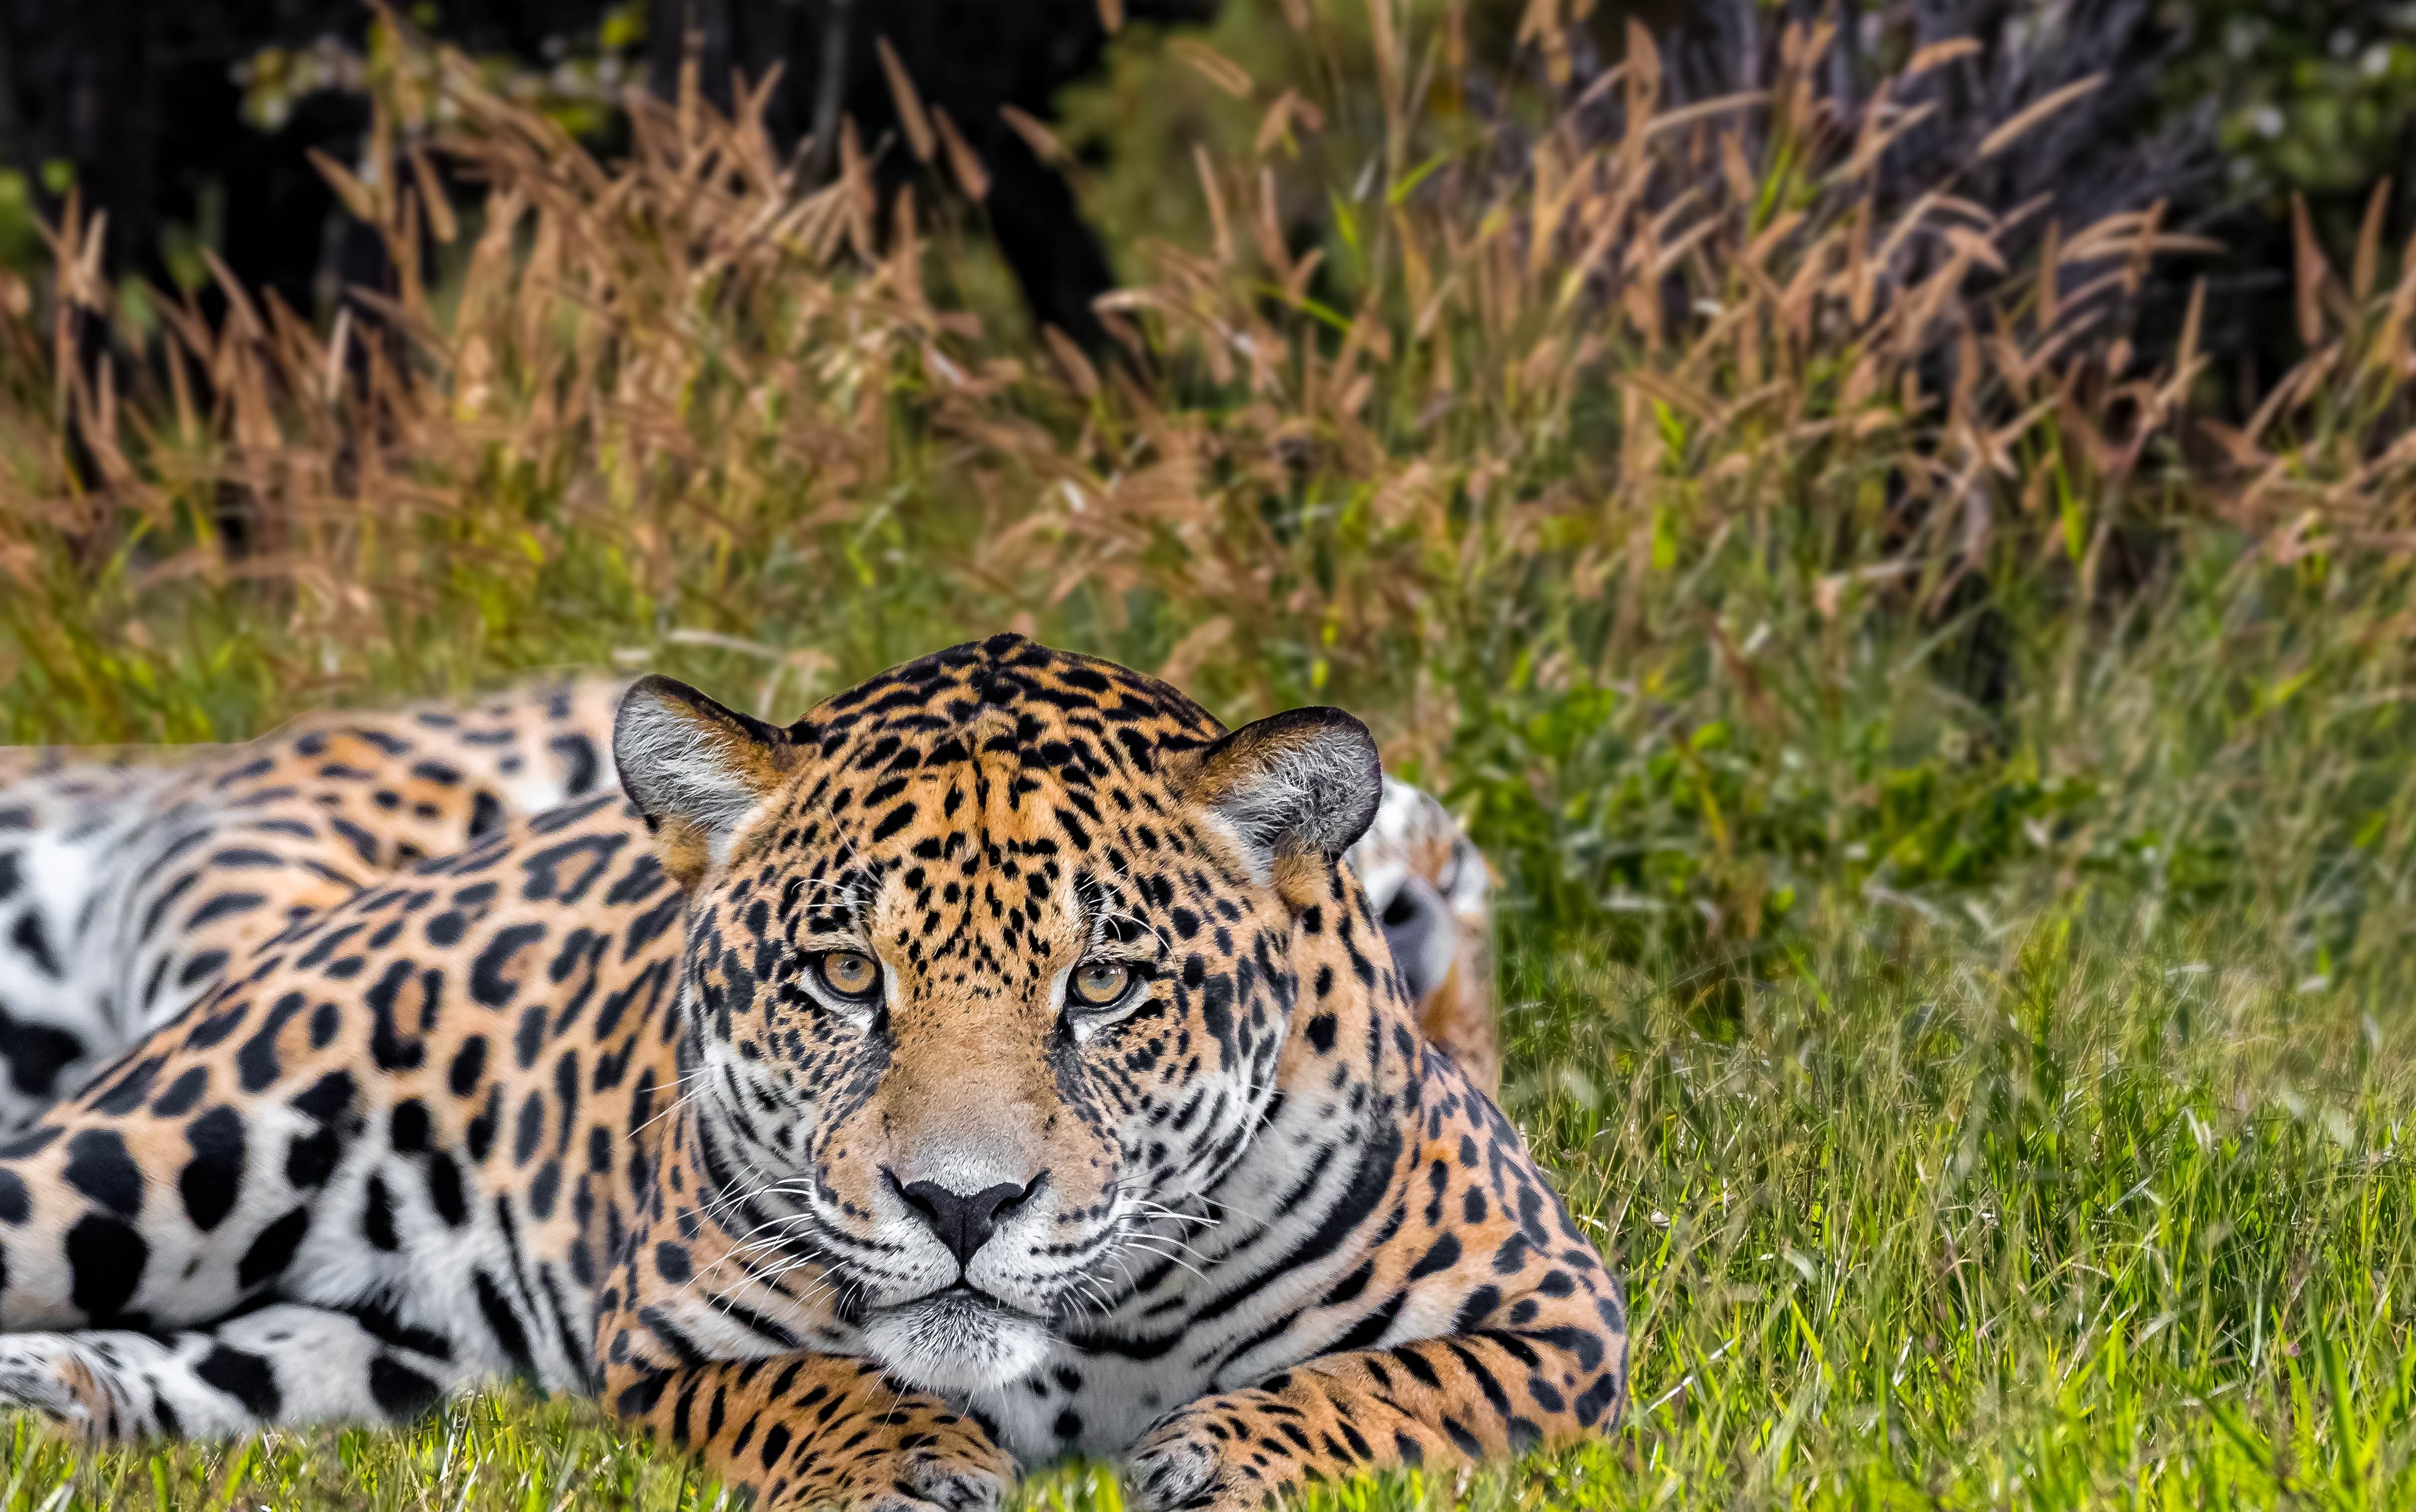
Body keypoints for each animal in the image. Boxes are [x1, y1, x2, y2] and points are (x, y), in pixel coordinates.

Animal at [0, 636, 1624, 1510]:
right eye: (846, 976)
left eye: (1103, 985)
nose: (959, 1206)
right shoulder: (665, 1346)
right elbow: (813, 1389)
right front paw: (915, 1459)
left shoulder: (1561, 1317)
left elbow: (1374, 1389)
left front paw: (1209, 1457)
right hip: (160, 1152)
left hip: (389, 1361)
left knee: (246, 1362)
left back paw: (58, 1396)